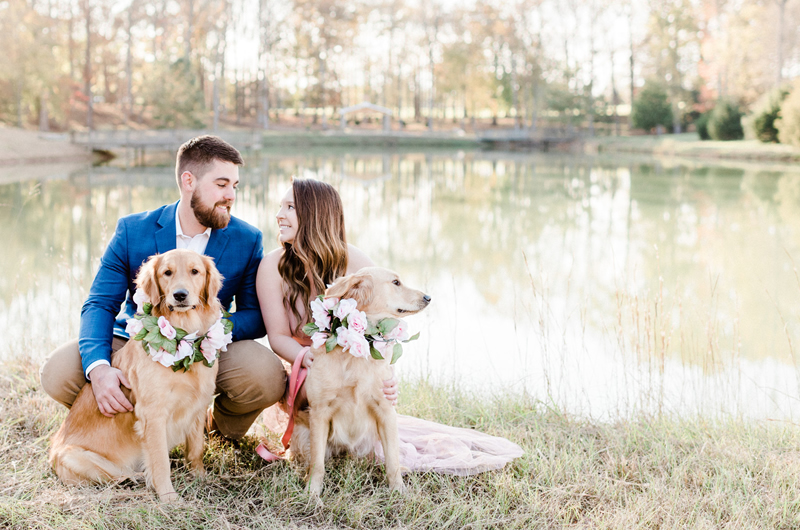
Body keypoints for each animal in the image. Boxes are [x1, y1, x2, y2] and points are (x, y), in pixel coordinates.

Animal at [48, 248, 223, 500]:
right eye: (167, 272)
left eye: (195, 271)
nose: (180, 295)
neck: (184, 335)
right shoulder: (153, 414)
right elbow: (160, 462)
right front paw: (169, 498)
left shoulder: (198, 405)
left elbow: (196, 449)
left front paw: (200, 478)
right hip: (75, 457)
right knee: (120, 476)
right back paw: (137, 479)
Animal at [290, 266, 432, 492]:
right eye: (396, 282)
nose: (428, 297)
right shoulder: (319, 413)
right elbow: (317, 465)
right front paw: (312, 493)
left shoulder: (386, 410)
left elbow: (392, 461)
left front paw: (399, 492)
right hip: (303, 435)